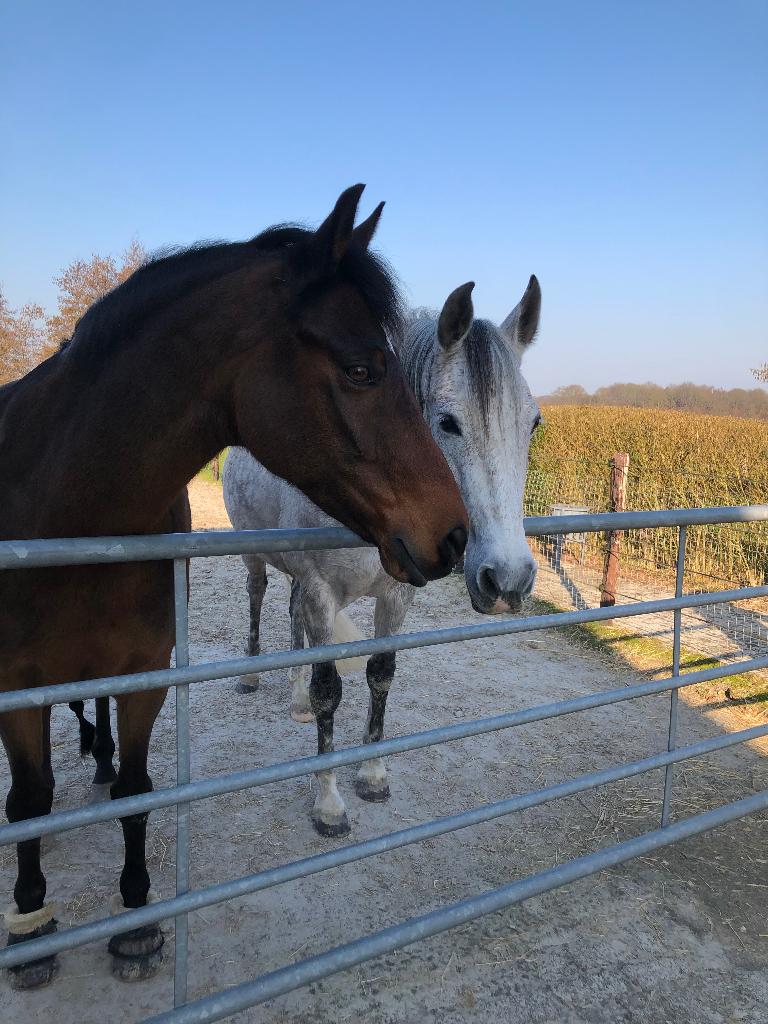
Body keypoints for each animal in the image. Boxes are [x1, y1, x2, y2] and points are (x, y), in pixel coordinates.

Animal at [0, 184, 468, 989]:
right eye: (362, 370)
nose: (455, 534)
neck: (63, 501)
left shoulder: (145, 673)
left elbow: (137, 790)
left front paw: (137, 922)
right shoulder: (16, 686)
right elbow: (31, 800)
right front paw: (32, 924)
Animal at [223, 275, 541, 837]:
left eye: (534, 424)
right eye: (448, 423)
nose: (507, 580)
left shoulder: (395, 597)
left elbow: (381, 675)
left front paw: (372, 776)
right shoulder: (323, 591)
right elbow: (330, 689)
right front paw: (328, 803)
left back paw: (295, 699)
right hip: (257, 556)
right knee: (258, 597)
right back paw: (251, 675)